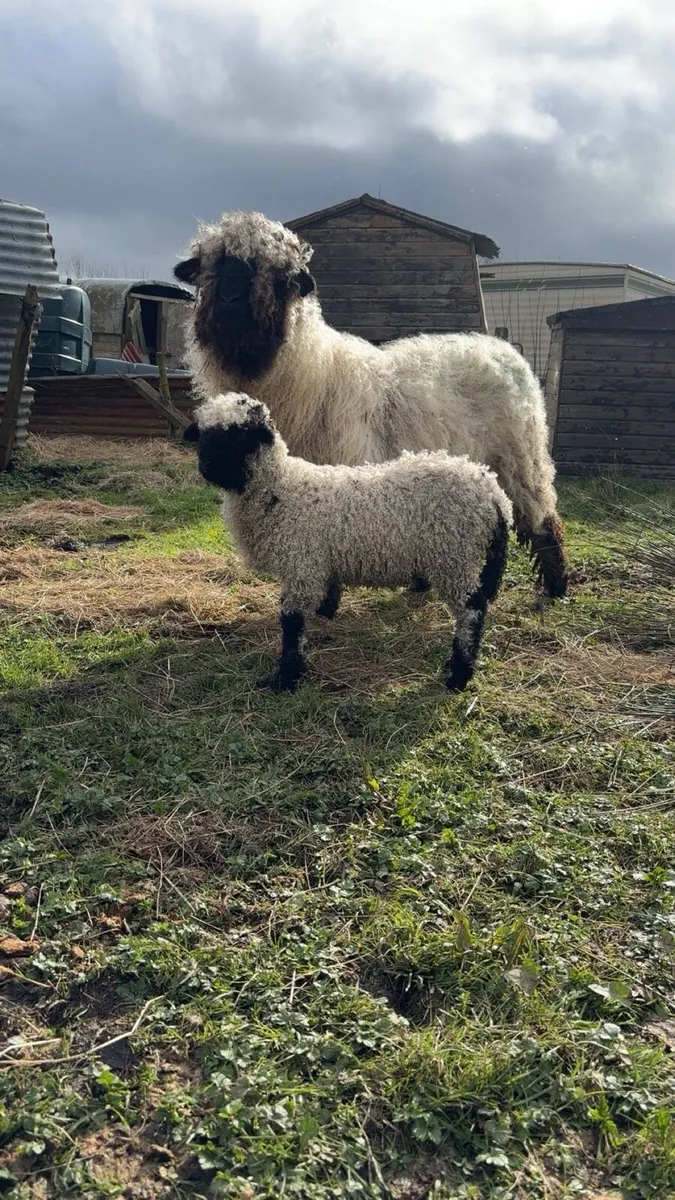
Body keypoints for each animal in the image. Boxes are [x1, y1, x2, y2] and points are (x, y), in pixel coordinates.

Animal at [174, 210, 568, 600]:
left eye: (280, 276)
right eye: (212, 265)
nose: (230, 301)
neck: (309, 373)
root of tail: (502, 349)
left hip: (520, 459)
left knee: (545, 520)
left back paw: (557, 587)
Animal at [184, 391, 513, 694]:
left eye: (242, 435)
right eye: (204, 434)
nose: (208, 467)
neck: (279, 488)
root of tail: (493, 493)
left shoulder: (301, 563)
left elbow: (292, 624)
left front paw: (286, 677)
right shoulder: (320, 561)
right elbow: (328, 595)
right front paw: (325, 616)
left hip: (453, 554)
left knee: (471, 610)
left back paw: (459, 674)